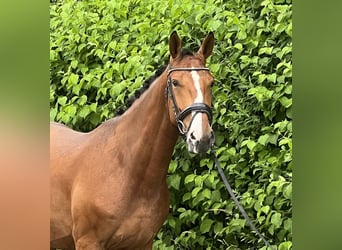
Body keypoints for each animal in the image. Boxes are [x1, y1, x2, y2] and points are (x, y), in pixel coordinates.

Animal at [50, 32, 215, 249]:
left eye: (211, 82)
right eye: (175, 82)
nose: (201, 138)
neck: (127, 169)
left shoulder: (143, 242)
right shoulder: (88, 242)